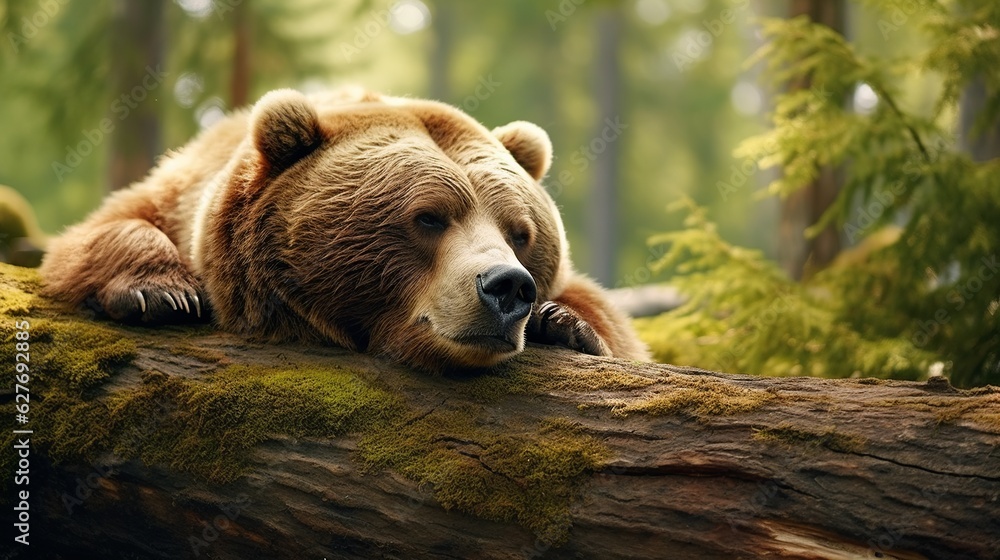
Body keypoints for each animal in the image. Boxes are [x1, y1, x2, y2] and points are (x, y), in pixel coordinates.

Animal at [40, 87, 649, 371]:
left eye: (519, 231)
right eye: (429, 217)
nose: (507, 287)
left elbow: (607, 318)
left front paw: (565, 323)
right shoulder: (178, 195)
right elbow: (103, 229)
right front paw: (162, 293)